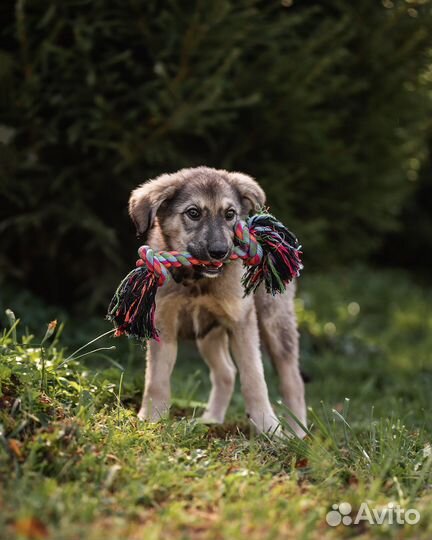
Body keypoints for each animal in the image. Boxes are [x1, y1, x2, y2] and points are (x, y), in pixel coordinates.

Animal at [129, 167, 308, 436]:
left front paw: (267, 426)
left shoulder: (241, 321)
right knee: (226, 373)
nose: (219, 252)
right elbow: (156, 378)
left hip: (274, 322)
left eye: (230, 214)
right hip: (208, 334)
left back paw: (297, 433)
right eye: (193, 213)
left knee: (292, 380)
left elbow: (254, 377)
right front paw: (152, 418)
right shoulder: (163, 324)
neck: (197, 281)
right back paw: (210, 420)